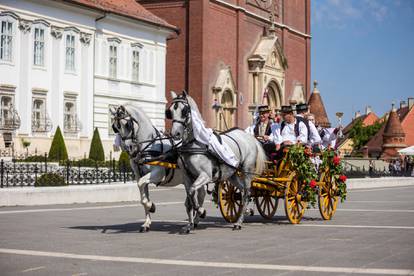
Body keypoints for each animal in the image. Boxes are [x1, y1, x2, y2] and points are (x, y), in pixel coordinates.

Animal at [111, 104, 206, 232]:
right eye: (115, 127)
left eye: (127, 124)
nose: (128, 148)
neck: (148, 145)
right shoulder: (139, 175)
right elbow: (143, 196)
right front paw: (147, 221)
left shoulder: (158, 174)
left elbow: (142, 188)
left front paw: (151, 206)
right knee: (193, 198)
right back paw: (193, 220)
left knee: (200, 195)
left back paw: (198, 216)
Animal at [167, 91, 266, 231]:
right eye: (170, 111)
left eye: (184, 111)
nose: (175, 134)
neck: (195, 144)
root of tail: (250, 137)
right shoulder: (187, 177)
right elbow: (189, 199)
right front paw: (190, 224)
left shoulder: (205, 175)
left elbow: (192, 191)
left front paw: (201, 211)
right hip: (232, 175)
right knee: (242, 192)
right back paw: (245, 211)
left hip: (246, 172)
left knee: (247, 193)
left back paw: (238, 222)